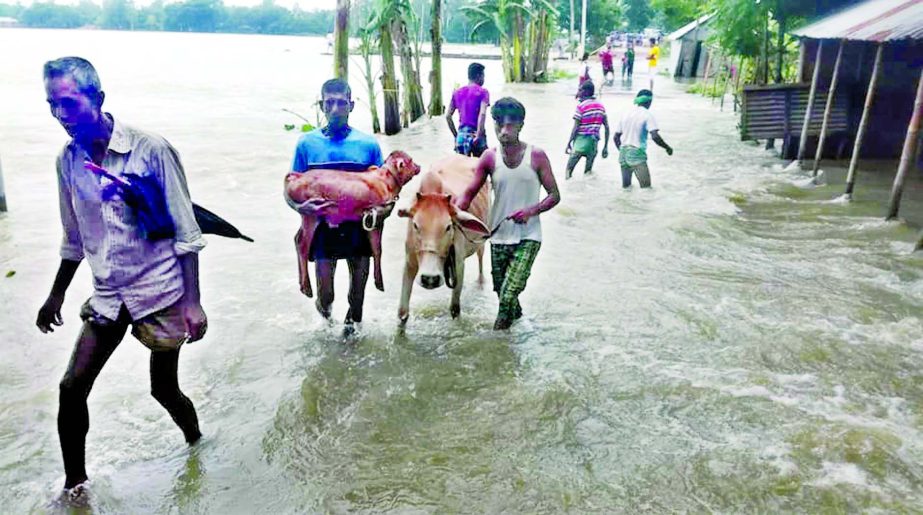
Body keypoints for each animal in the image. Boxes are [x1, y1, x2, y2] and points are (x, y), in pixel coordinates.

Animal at [286, 150, 422, 298]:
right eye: (411, 160)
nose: (419, 166)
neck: (386, 181)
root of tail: (298, 176)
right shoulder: (375, 217)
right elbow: (377, 249)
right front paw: (379, 282)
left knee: (296, 238)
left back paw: (301, 283)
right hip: (311, 214)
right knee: (302, 244)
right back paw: (307, 287)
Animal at [398, 153, 490, 324]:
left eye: (448, 227)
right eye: (415, 225)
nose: (430, 279)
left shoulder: (458, 265)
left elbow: (455, 309)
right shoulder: (409, 262)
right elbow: (402, 312)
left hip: (482, 241)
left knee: (480, 259)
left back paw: (480, 283)